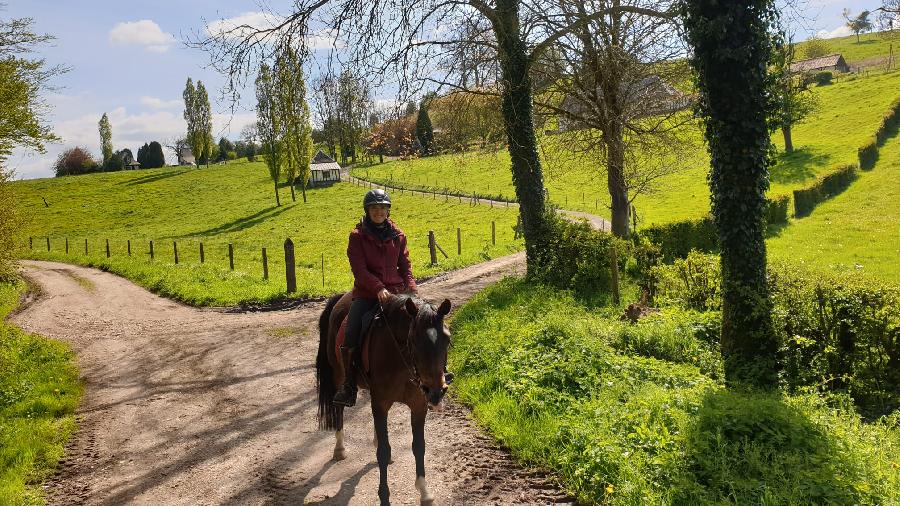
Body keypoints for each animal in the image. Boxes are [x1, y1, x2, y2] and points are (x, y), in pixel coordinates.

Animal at [318, 290, 458, 504]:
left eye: (447, 340)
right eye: (413, 340)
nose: (435, 392)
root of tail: (341, 297)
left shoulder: (418, 405)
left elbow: (419, 446)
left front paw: (424, 492)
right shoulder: (381, 403)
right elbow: (383, 452)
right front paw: (384, 496)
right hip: (338, 376)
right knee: (339, 409)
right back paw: (339, 449)